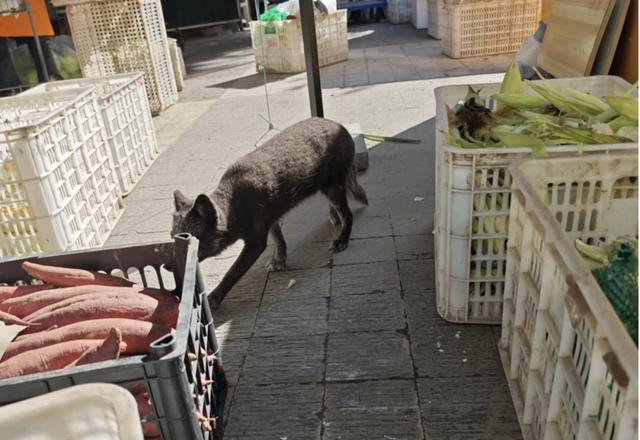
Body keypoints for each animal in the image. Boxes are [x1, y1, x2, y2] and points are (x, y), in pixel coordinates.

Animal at [172, 117, 368, 310]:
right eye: (173, 238)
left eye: (190, 241)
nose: (169, 267)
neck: (234, 202)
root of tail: (339, 125)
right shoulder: (271, 219)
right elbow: (279, 239)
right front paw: (279, 260)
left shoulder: (255, 243)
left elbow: (232, 273)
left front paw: (213, 298)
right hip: (328, 188)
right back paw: (334, 217)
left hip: (333, 187)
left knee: (348, 215)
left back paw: (342, 240)